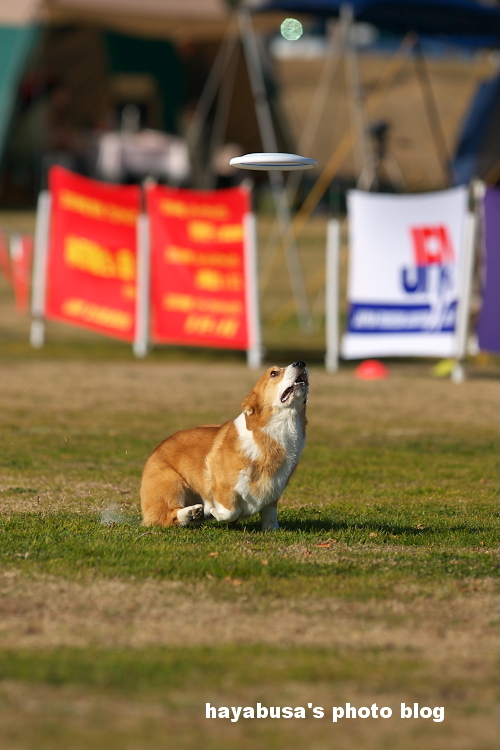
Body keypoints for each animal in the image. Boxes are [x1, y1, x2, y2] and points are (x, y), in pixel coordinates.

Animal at [139, 362, 306, 532]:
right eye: (273, 373)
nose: (300, 363)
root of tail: (155, 451)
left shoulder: (273, 490)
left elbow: (270, 514)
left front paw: (272, 530)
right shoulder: (223, 486)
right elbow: (230, 511)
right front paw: (212, 511)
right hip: (172, 483)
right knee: (166, 517)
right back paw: (191, 513)